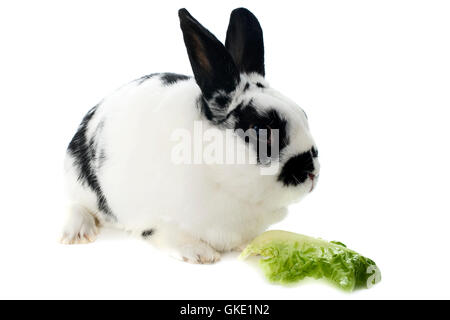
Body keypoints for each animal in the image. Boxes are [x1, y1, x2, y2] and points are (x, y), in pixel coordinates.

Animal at [61, 7, 320, 264]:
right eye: (262, 131)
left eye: (305, 115)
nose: (312, 174)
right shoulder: (157, 218)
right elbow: (169, 235)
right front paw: (200, 254)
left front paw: (254, 248)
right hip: (79, 182)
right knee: (77, 205)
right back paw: (77, 234)